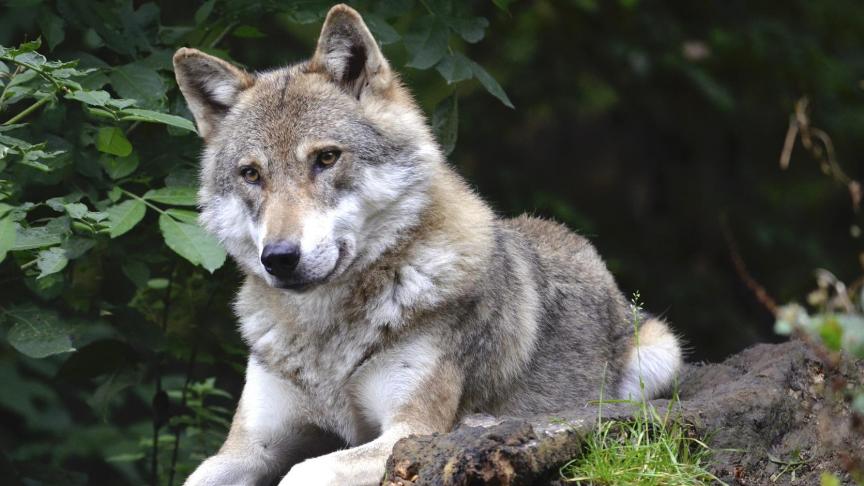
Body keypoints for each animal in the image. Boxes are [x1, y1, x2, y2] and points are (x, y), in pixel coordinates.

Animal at [173, 4, 682, 485]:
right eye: (251, 174)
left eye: (327, 158)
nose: (279, 258)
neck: (325, 336)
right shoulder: (247, 449)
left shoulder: (411, 432)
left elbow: (304, 471)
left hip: (660, 357)